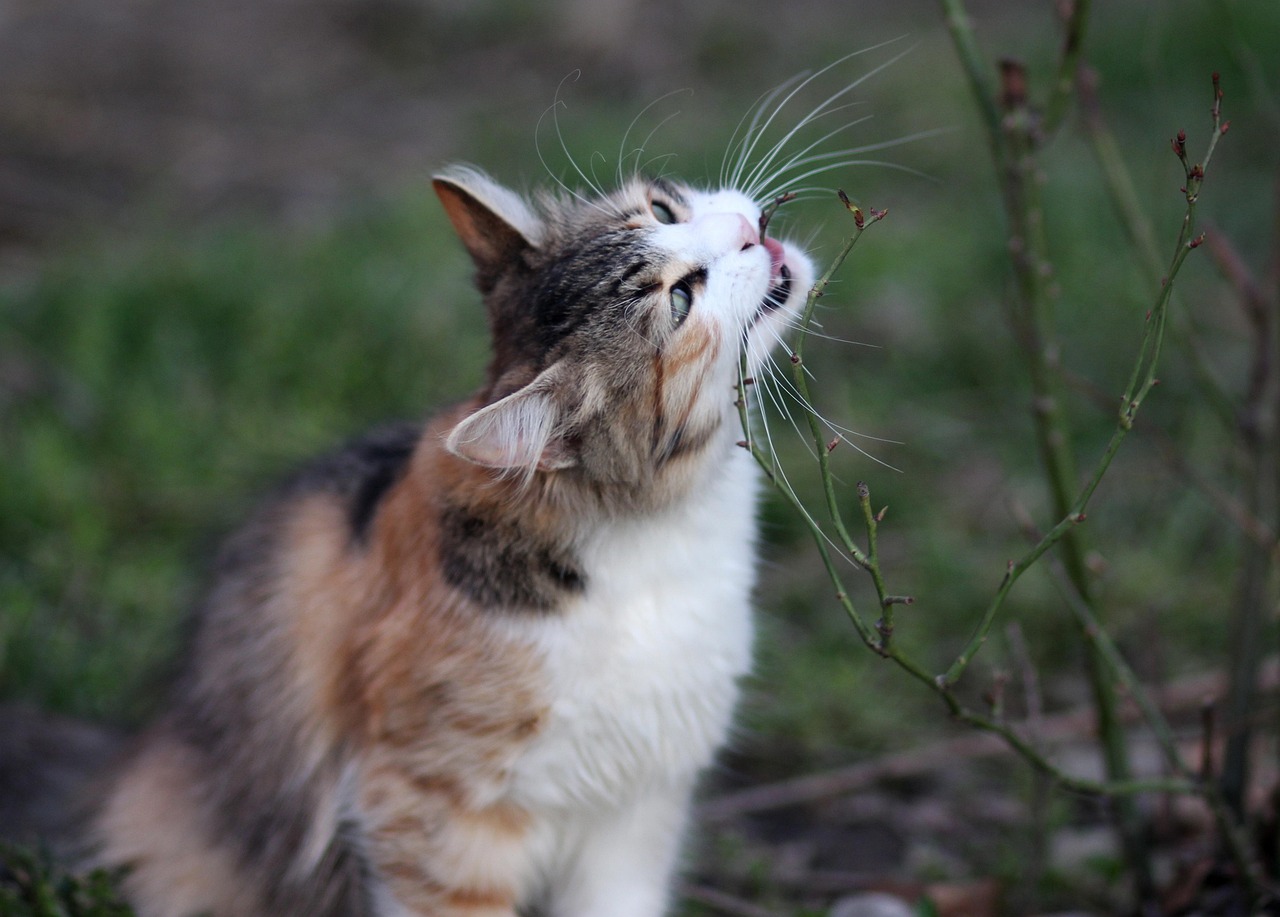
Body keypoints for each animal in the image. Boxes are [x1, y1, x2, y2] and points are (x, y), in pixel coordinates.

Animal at [0, 157, 819, 917]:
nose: (748, 233)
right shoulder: (435, 812)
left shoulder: (633, 815)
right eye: (681, 298)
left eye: (662, 208)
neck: (657, 535)